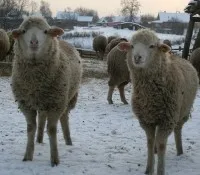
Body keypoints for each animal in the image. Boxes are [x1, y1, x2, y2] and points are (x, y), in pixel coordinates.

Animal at [10, 15, 83, 166]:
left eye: (45, 31)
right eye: (24, 31)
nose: (34, 42)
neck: (36, 82)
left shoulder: (56, 104)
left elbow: (52, 129)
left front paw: (55, 159)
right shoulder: (26, 104)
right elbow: (31, 128)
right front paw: (28, 156)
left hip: (67, 98)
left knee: (64, 118)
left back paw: (68, 141)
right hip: (43, 102)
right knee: (42, 118)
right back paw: (39, 139)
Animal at [118, 28, 198, 175]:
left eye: (151, 46)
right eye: (132, 46)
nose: (137, 57)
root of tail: (180, 57)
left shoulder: (167, 120)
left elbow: (161, 145)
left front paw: (160, 170)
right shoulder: (146, 120)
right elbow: (150, 142)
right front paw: (149, 168)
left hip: (182, 112)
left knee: (178, 130)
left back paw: (180, 151)